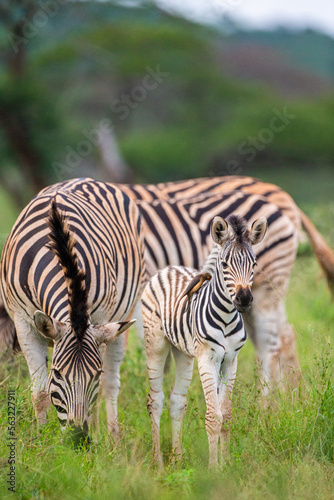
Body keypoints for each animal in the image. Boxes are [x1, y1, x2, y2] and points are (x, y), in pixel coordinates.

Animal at [0, 179, 146, 438]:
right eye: (57, 373)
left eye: (95, 374)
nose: (78, 438)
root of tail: (87, 179)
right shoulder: (23, 323)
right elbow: (40, 393)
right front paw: (40, 439)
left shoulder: (101, 321)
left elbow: (99, 390)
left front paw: (96, 440)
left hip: (122, 318)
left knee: (111, 386)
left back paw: (113, 439)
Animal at [142, 215, 268, 468]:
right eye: (225, 265)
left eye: (254, 264)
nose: (244, 299)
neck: (227, 317)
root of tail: (168, 268)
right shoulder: (208, 359)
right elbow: (212, 417)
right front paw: (213, 468)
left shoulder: (231, 360)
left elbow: (226, 414)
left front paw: (226, 464)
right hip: (156, 345)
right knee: (155, 400)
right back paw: (158, 463)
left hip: (183, 353)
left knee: (177, 401)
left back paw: (177, 459)